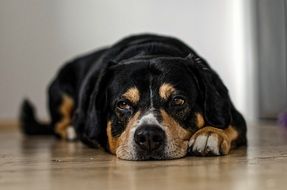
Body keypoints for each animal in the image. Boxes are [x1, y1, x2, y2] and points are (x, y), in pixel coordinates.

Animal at [20, 33, 249, 160]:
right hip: (61, 92)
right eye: (123, 104)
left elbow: (229, 124)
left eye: (178, 101)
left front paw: (209, 134)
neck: (150, 52)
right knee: (57, 124)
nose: (148, 137)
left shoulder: (234, 115)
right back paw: (70, 131)